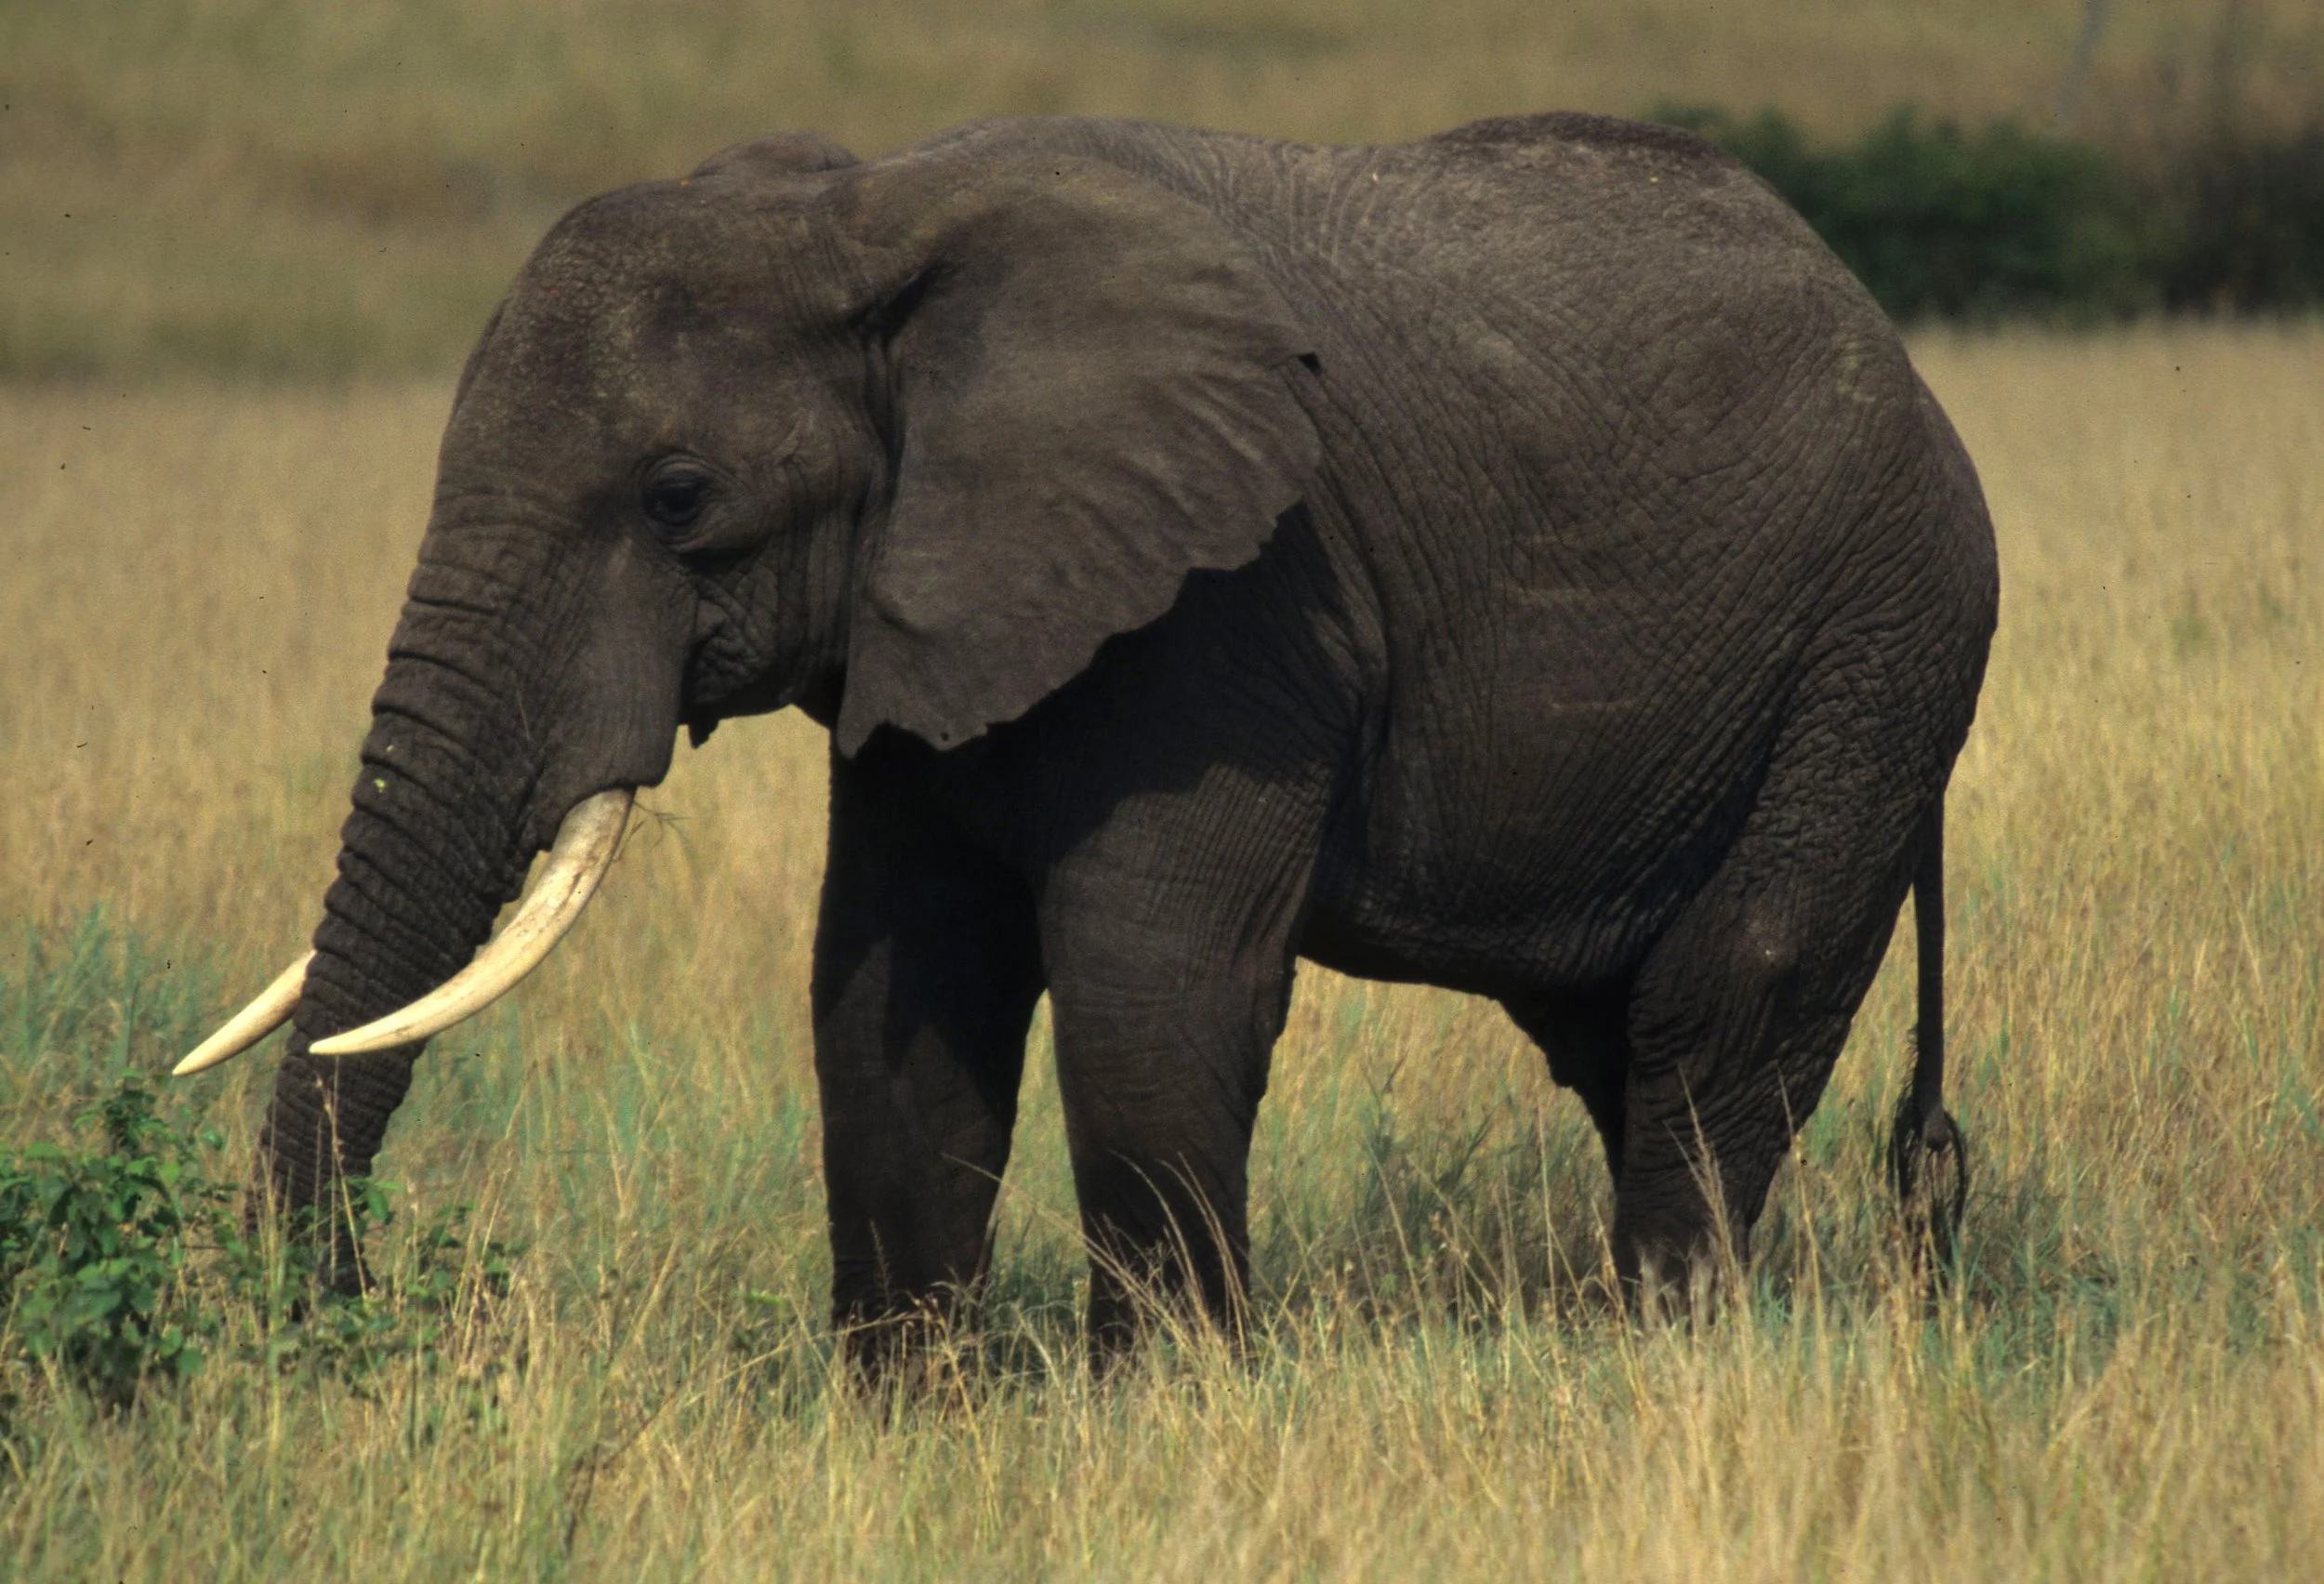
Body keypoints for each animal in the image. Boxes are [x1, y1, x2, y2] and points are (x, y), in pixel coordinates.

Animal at [180, 111, 1997, 1366]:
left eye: (679, 497)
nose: (330, 1322)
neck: (869, 214)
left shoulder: (1240, 609)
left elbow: (1149, 984)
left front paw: (1165, 1414)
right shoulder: (931, 612)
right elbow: (891, 988)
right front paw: (911, 1422)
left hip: (1878, 652)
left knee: (1720, 1011)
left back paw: (1667, 1357)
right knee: (1616, 1041)